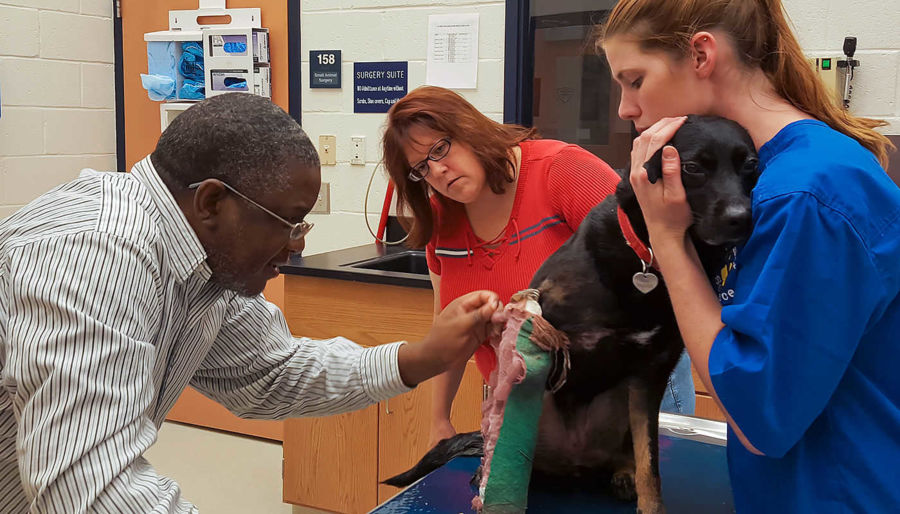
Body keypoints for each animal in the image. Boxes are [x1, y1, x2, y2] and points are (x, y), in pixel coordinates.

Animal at [384, 116, 756, 512]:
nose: (741, 219)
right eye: (693, 168)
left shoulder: (651, 373)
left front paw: (648, 501)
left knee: (629, 452)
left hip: (620, 403)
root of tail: (574, 460)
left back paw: (621, 473)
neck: (646, 260)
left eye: (750, 165)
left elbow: (650, 463)